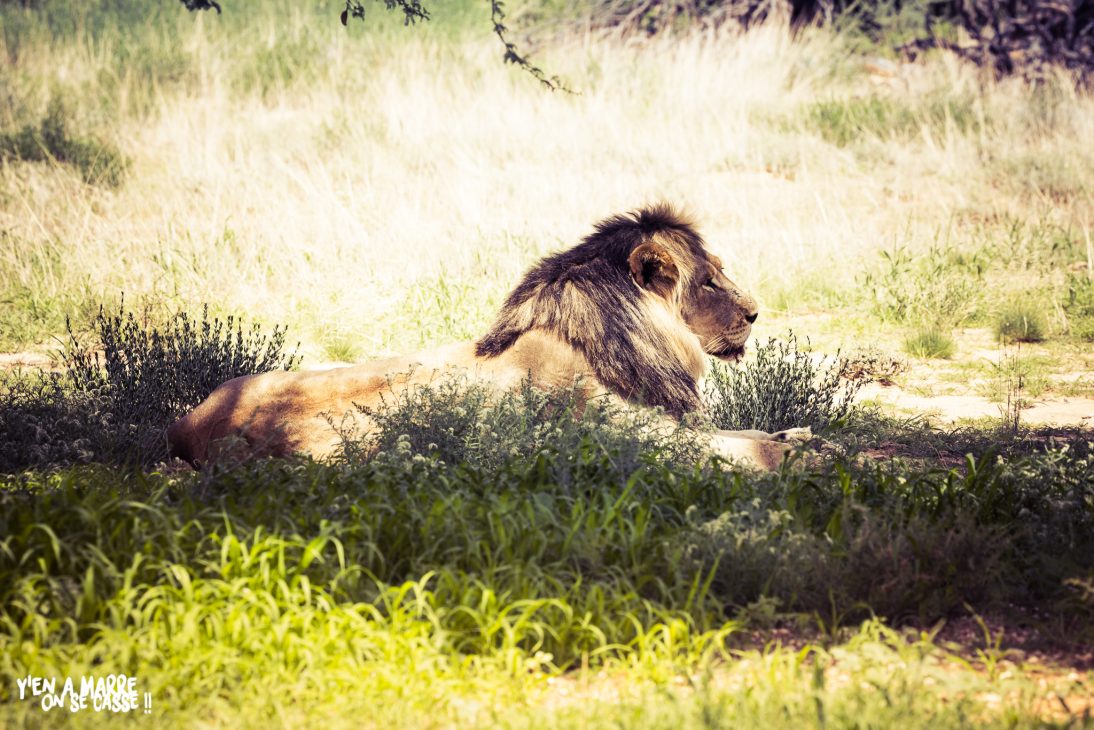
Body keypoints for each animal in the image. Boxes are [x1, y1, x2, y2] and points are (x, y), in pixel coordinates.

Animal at [167, 205, 809, 469]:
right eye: (709, 281)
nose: (756, 313)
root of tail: (183, 427)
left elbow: (748, 431)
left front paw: (798, 432)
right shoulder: (635, 438)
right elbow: (743, 447)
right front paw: (802, 453)